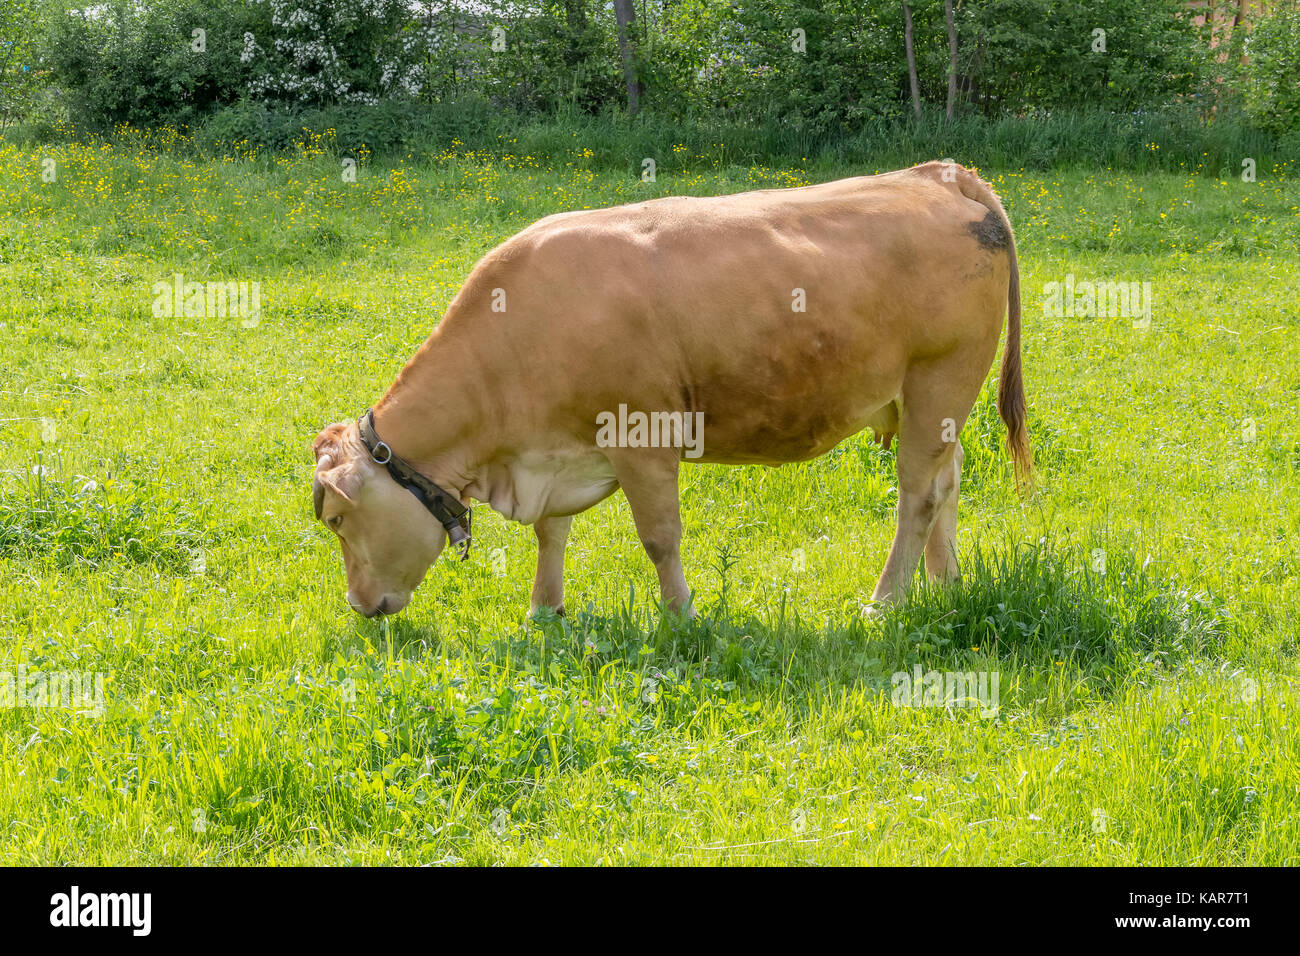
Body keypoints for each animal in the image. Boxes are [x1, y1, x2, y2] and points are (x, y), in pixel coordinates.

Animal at [311, 161, 1031, 618]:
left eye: (338, 520)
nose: (358, 606)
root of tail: (938, 173)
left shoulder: (641, 436)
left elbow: (659, 536)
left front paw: (682, 615)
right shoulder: (553, 447)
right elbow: (551, 531)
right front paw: (545, 611)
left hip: (942, 376)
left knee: (917, 494)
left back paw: (885, 602)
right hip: (929, 402)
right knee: (947, 482)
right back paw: (943, 583)